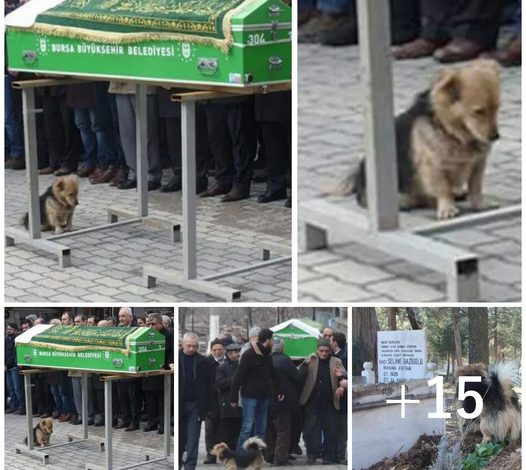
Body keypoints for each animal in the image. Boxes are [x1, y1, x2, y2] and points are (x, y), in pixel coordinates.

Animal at [330, 59, 504, 219]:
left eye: (497, 108)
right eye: (478, 111)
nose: (495, 136)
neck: (452, 131)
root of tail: (358, 179)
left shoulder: (478, 165)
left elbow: (476, 187)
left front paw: (480, 203)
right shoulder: (432, 166)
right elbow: (442, 189)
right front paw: (446, 207)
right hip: (399, 196)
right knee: (417, 200)